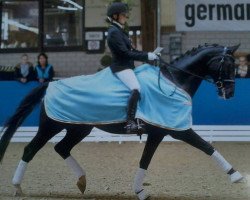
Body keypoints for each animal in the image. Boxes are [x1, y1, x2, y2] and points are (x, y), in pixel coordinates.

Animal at [0, 44, 242, 200]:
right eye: (228, 65)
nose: (229, 93)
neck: (173, 81)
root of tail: (50, 84)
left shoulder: (158, 133)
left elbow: (145, 160)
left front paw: (140, 191)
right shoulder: (178, 130)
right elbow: (206, 146)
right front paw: (238, 177)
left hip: (79, 129)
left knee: (61, 147)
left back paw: (82, 181)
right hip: (52, 126)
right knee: (31, 149)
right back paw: (17, 187)